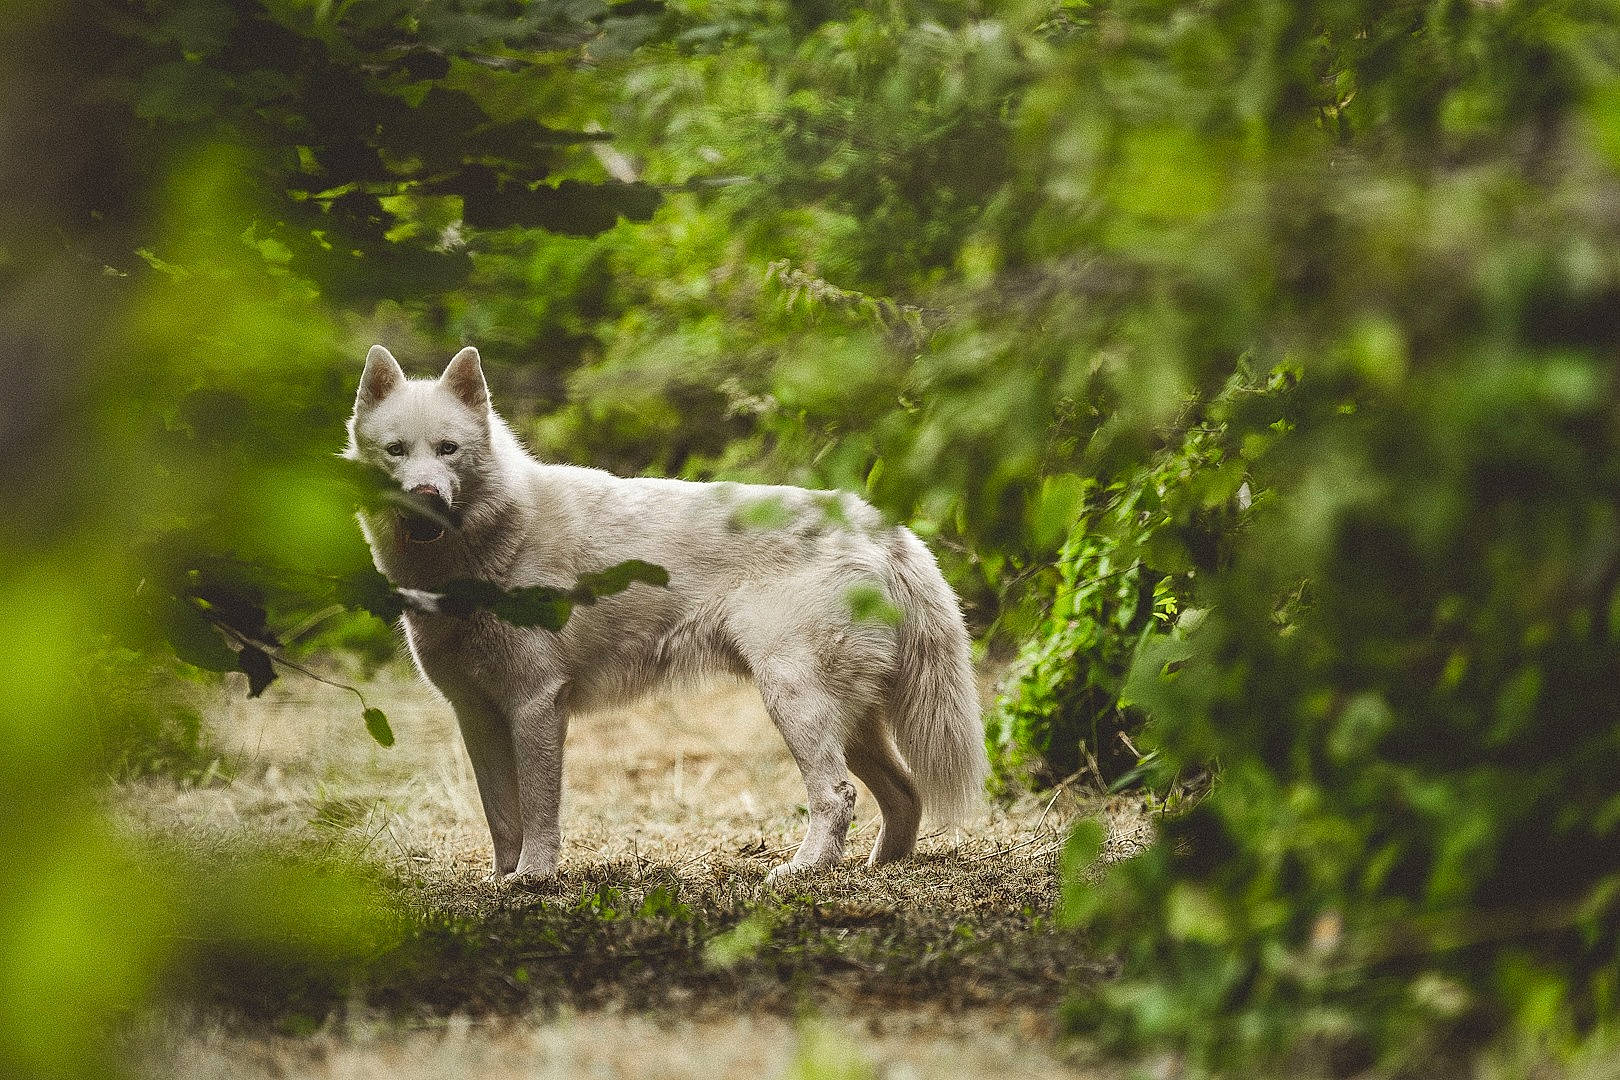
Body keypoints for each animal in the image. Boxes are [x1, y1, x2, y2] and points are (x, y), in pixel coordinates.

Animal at [345, 344, 988, 885]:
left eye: (448, 449)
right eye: (396, 451)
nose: (425, 495)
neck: (485, 555)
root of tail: (878, 524)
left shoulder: (536, 705)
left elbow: (539, 811)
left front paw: (534, 880)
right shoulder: (476, 714)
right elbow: (502, 814)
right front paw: (502, 882)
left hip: (796, 703)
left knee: (839, 795)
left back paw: (800, 872)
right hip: (847, 721)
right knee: (903, 794)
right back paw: (879, 869)